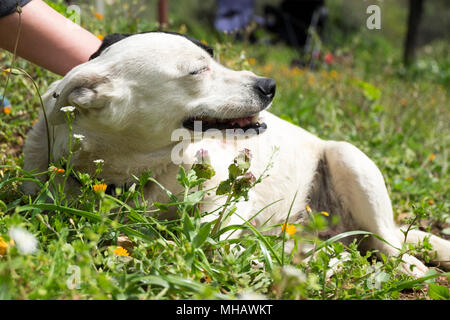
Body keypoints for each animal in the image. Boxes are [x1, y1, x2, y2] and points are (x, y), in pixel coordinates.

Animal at [22, 31, 450, 278]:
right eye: (197, 71)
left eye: (213, 56)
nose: (269, 85)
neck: (138, 166)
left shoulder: (232, 202)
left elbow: (210, 235)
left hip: (350, 160)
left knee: (386, 242)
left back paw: (406, 265)